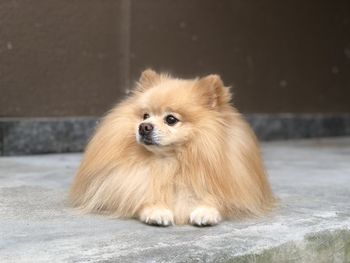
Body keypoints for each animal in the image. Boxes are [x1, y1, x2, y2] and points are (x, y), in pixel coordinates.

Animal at [69, 70, 274, 227]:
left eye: (171, 119)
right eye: (145, 116)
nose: (144, 127)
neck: (171, 162)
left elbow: (214, 199)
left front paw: (205, 211)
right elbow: (142, 195)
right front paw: (157, 210)